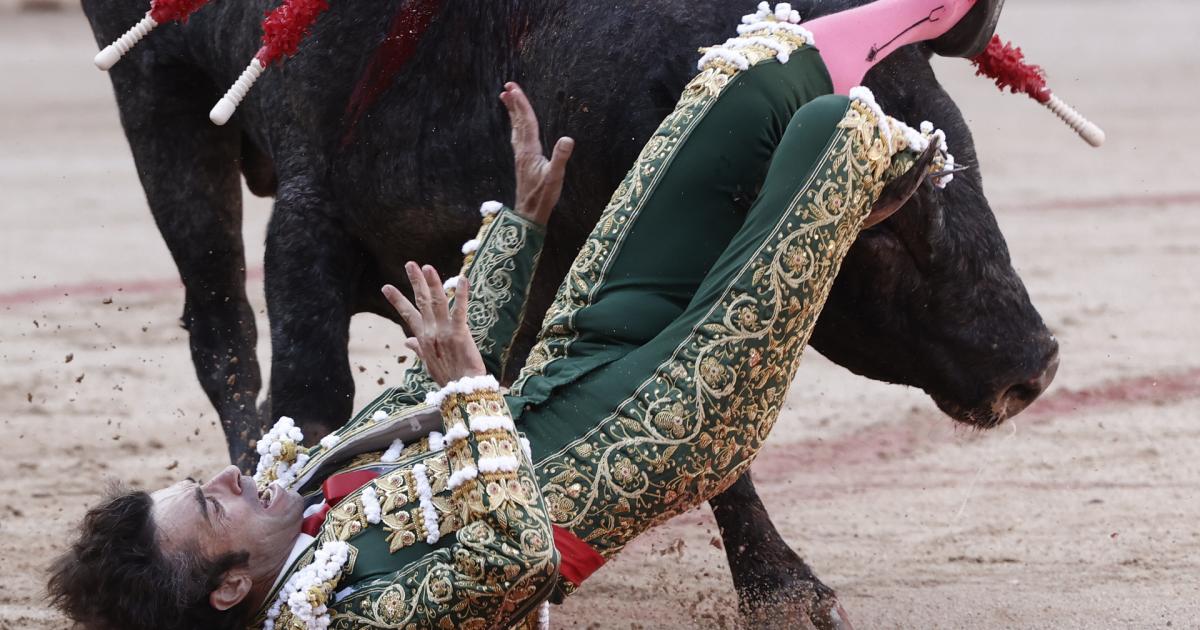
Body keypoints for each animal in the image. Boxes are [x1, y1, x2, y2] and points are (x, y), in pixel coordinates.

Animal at [87, 0, 1060, 619]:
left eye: (969, 153)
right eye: (892, 237)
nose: (1032, 364)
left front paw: (782, 588)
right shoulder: (307, 219)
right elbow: (310, 389)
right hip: (158, 104)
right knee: (220, 320)